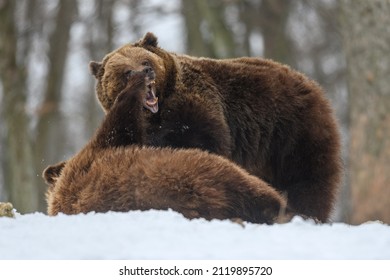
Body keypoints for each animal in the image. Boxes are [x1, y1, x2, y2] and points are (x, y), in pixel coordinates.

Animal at [87, 31, 342, 222]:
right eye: (126, 71)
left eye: (146, 61)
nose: (147, 72)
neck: (157, 114)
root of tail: (309, 82)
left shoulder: (194, 110)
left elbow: (203, 144)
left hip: (291, 130)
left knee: (306, 176)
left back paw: (305, 213)